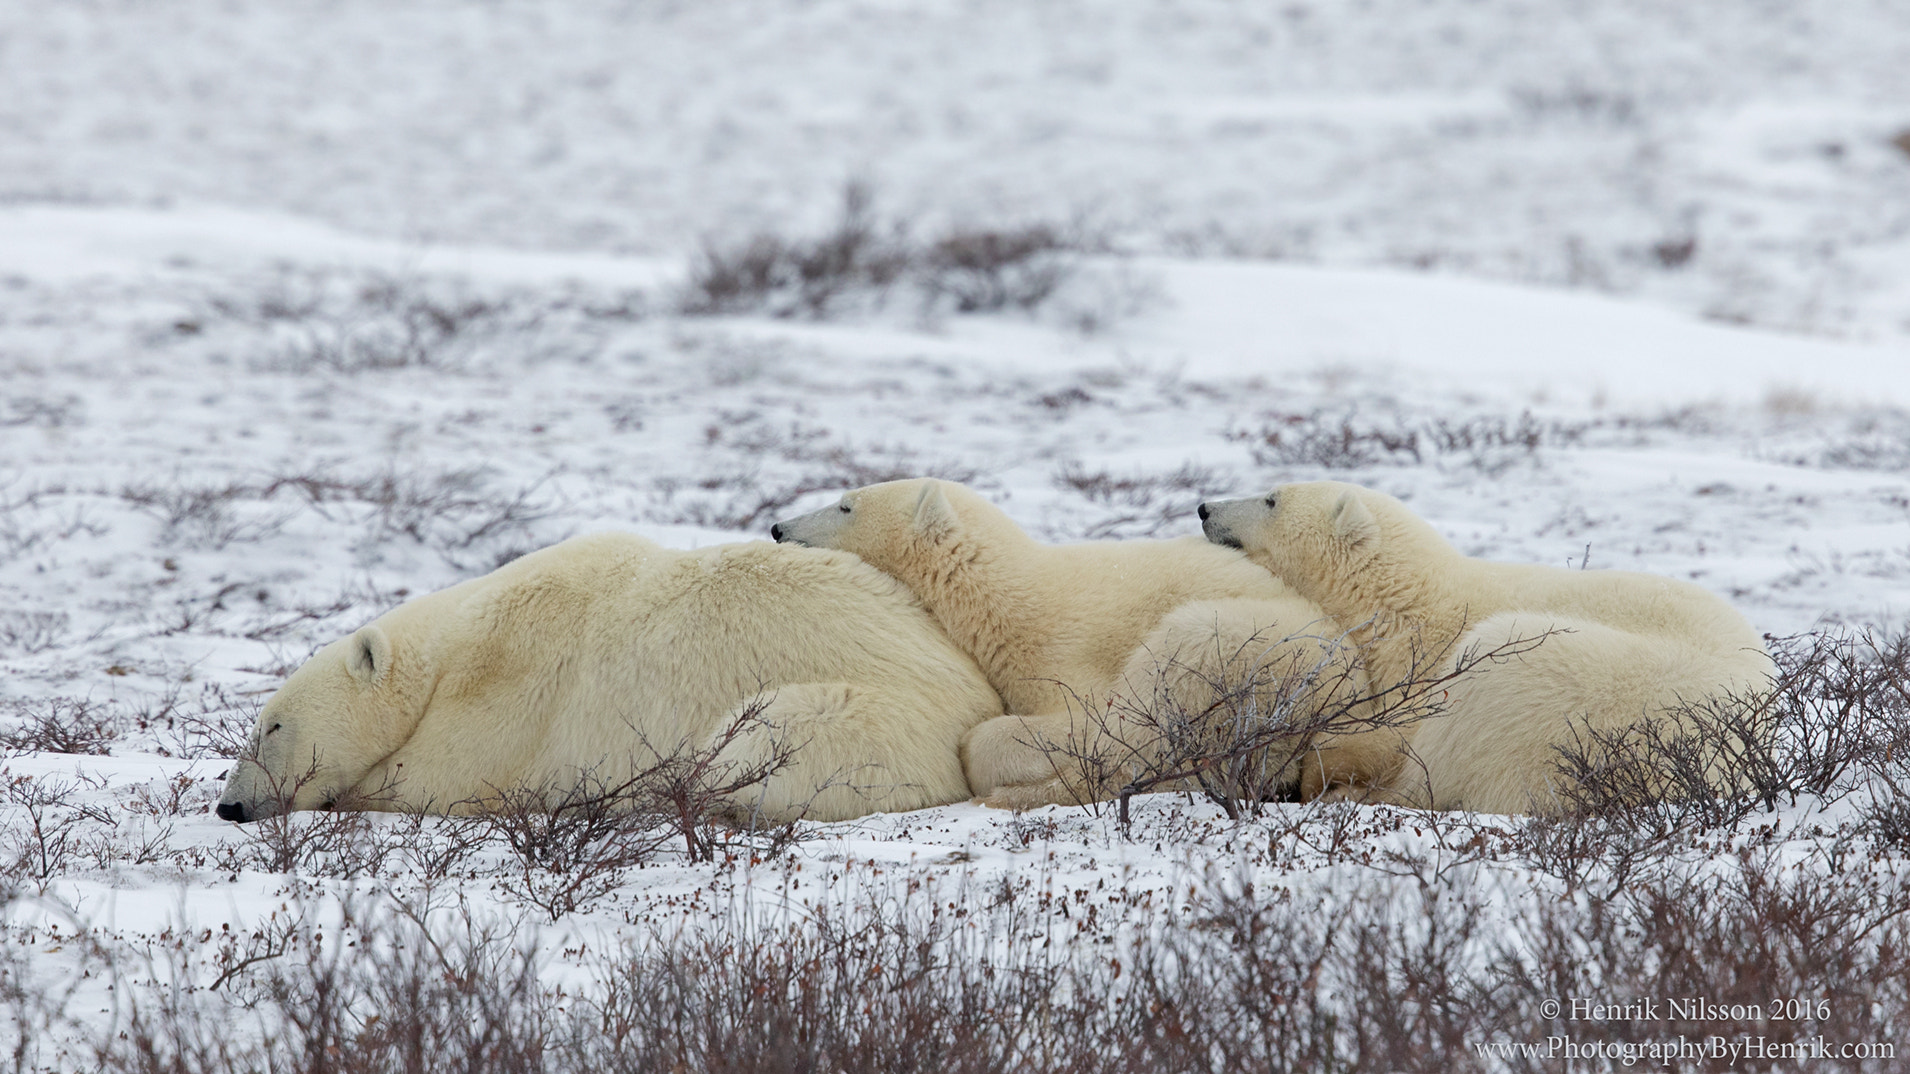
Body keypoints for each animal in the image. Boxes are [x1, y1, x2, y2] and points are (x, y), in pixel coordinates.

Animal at [212, 531, 1000, 817]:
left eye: (272, 725)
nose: (231, 805)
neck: (448, 653)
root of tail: (979, 701)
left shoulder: (513, 689)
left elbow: (433, 778)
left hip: (874, 715)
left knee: (759, 740)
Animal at [767, 473, 1398, 802]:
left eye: (845, 504)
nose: (777, 526)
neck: (1012, 596)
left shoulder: (1066, 649)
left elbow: (1092, 725)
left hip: (1248, 649)